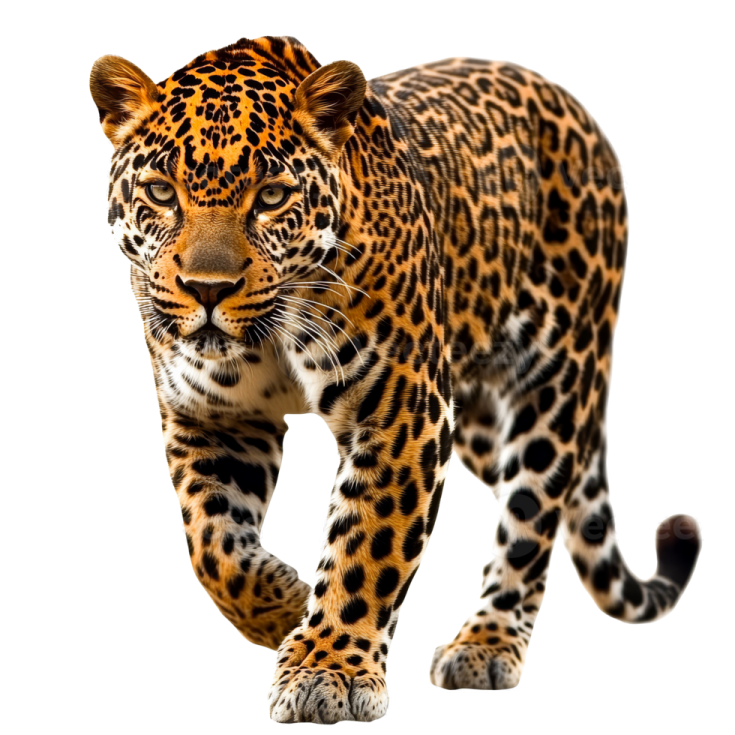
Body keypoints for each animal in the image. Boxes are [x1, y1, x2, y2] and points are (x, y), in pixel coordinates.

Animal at [87, 34, 702, 725]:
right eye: (161, 192)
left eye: (271, 197)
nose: (207, 289)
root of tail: (570, 104)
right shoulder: (214, 416)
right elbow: (211, 543)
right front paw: (282, 608)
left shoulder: (401, 409)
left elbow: (367, 542)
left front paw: (326, 666)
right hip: (481, 418)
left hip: (554, 379)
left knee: (533, 515)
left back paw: (487, 642)